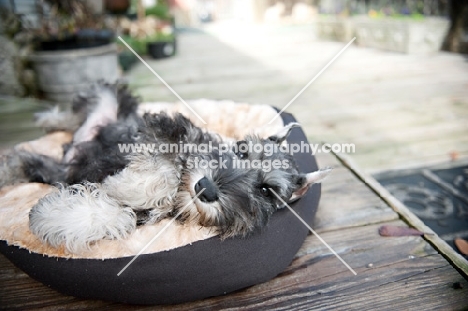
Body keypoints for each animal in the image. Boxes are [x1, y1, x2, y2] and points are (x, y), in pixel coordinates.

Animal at [6, 84, 332, 255]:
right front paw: (129, 188)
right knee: (75, 114)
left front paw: (57, 219)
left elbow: (126, 214)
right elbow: (170, 167)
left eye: (266, 190)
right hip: (110, 100)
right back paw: (46, 119)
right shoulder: (164, 130)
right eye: (242, 150)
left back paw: (9, 165)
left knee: (25, 161)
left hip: (54, 169)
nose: (205, 188)